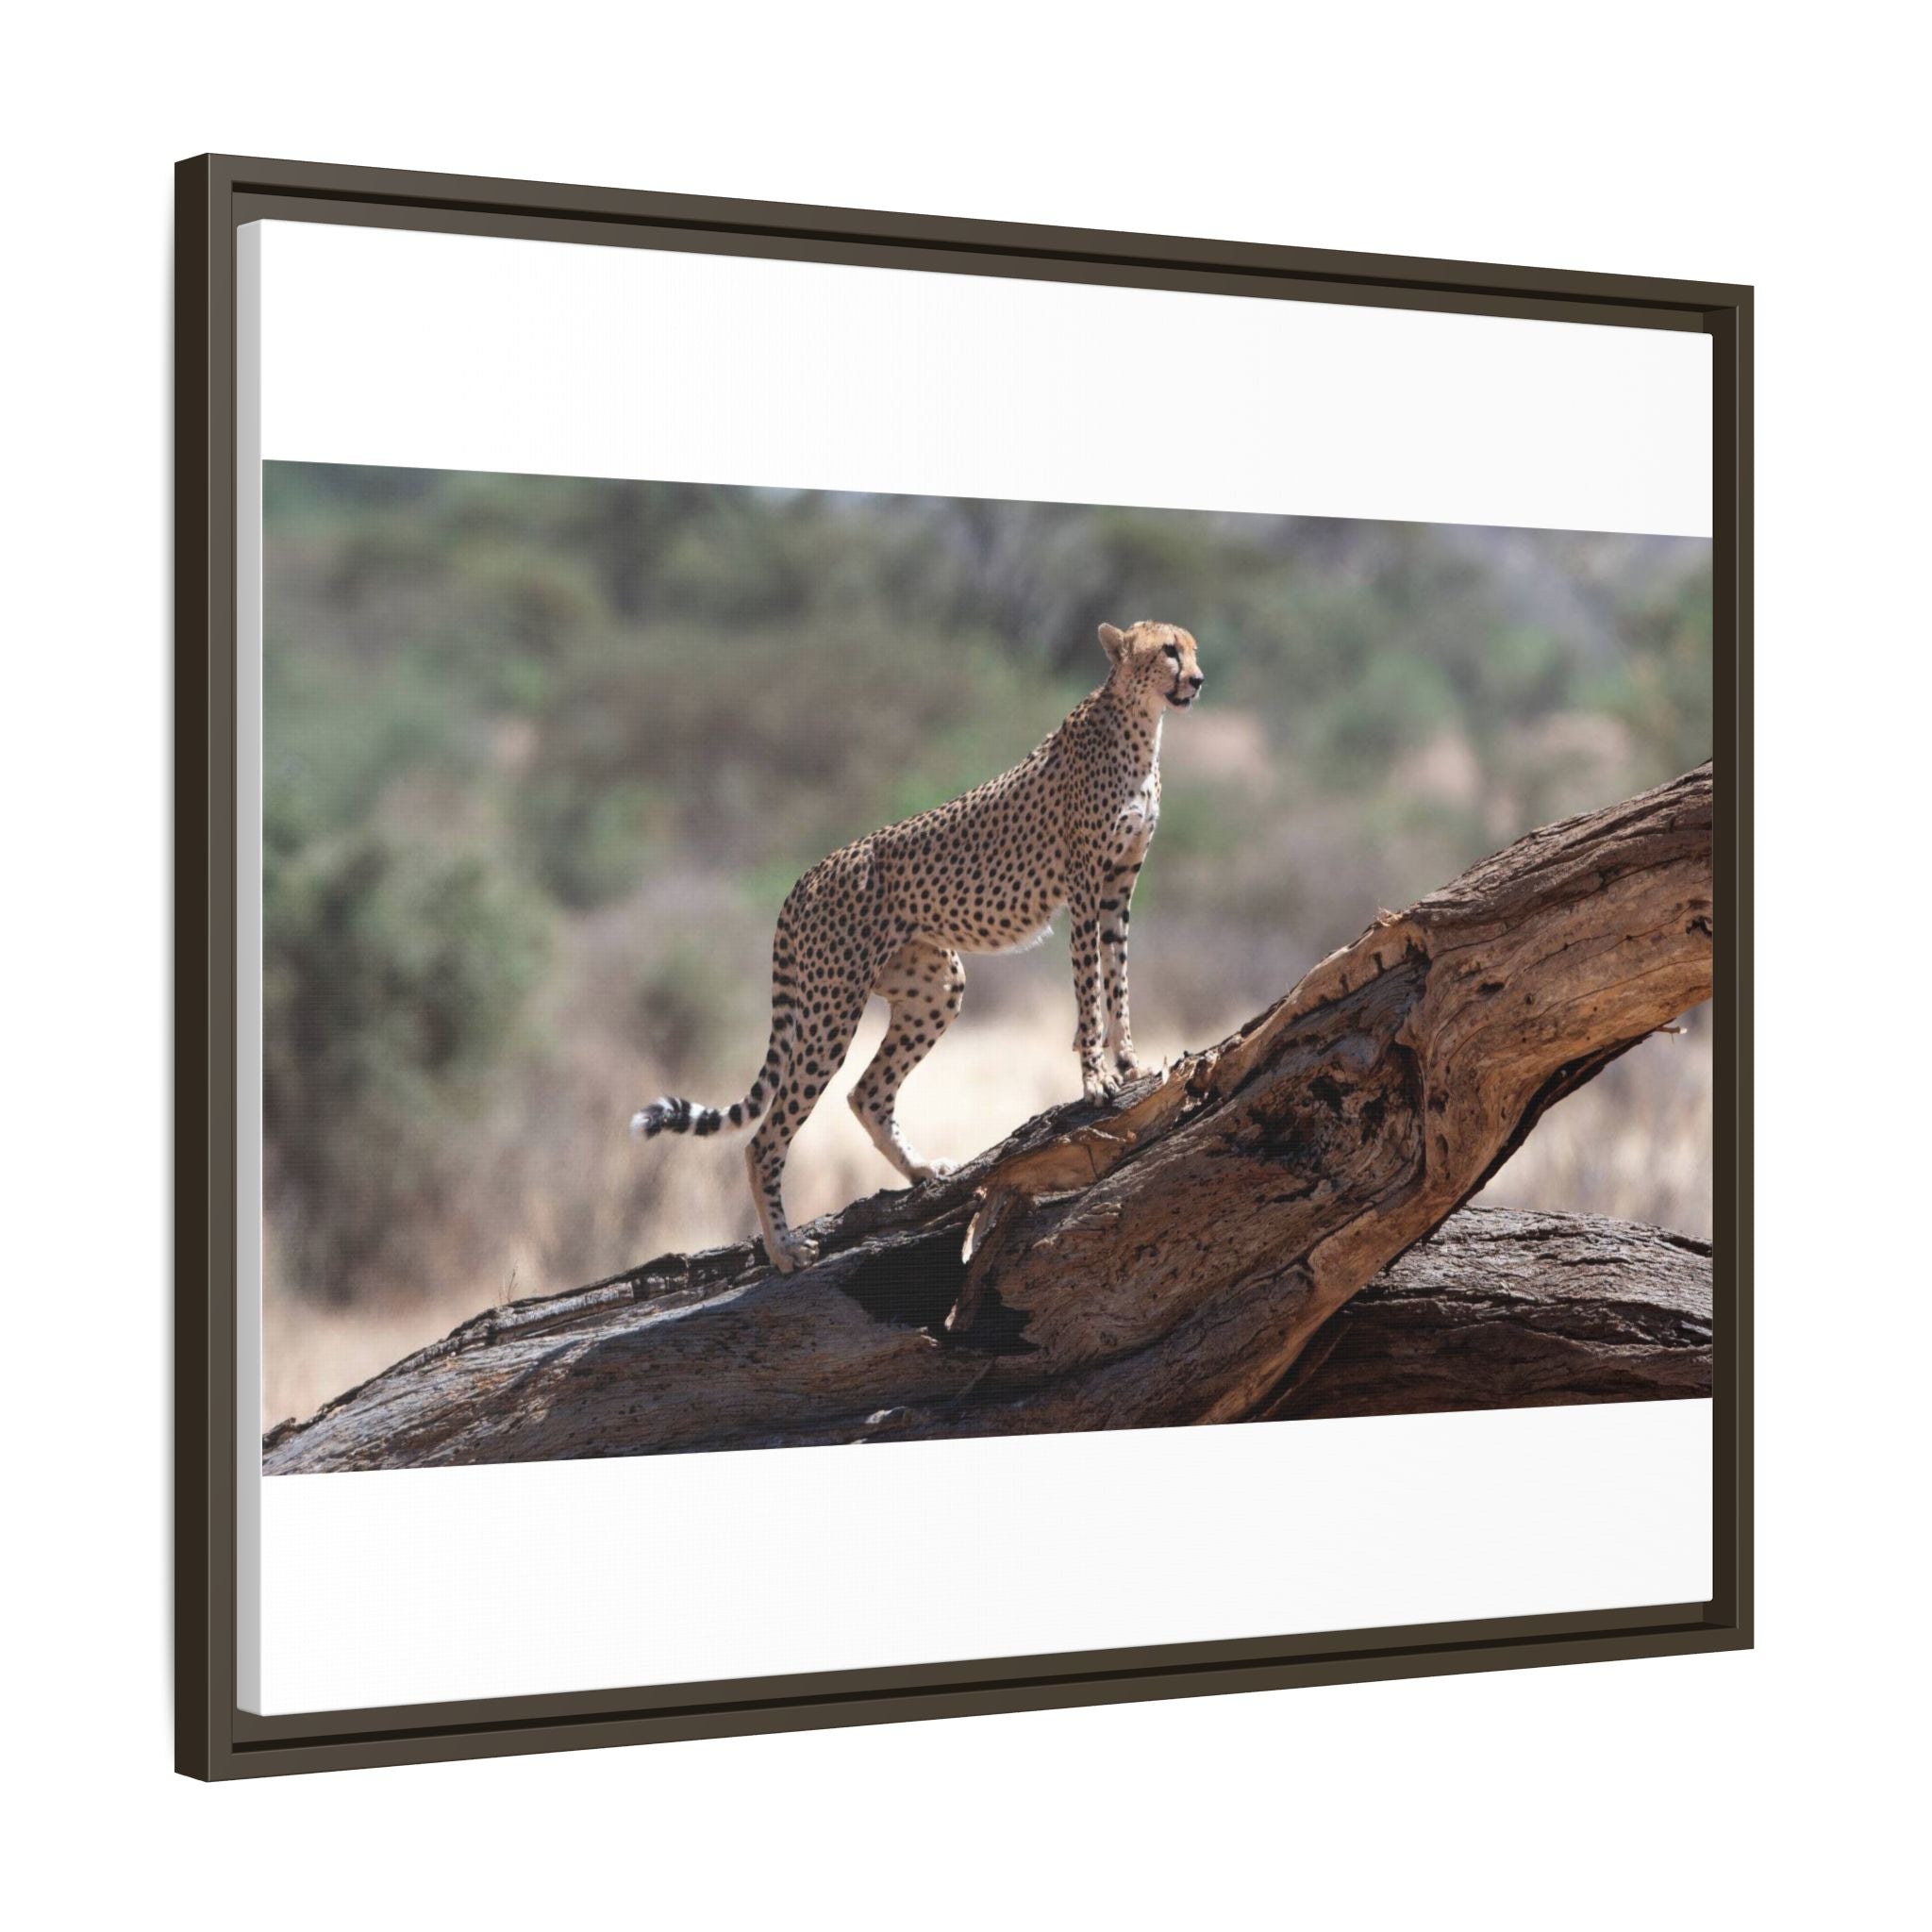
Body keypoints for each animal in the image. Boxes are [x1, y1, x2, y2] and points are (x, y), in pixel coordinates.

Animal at [631, 619, 1205, 1272]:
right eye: (1168, 651)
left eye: (1192, 648)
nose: (1197, 680)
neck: (1140, 724)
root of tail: (807, 876)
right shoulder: (1084, 886)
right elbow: (1089, 988)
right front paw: (1095, 1078)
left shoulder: (1118, 888)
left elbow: (1118, 979)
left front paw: (1131, 1063)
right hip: (831, 1008)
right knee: (766, 1136)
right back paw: (784, 1248)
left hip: (935, 987)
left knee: (866, 1093)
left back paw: (922, 1170)